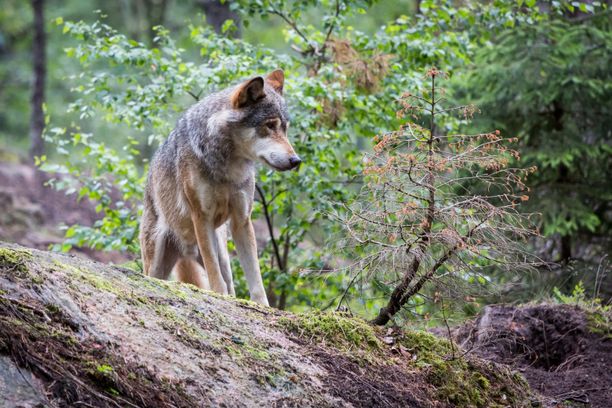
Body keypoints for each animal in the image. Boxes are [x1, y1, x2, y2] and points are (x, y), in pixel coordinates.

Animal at [139, 71, 302, 306]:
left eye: (285, 129)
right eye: (270, 125)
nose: (296, 160)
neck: (228, 167)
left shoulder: (242, 219)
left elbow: (255, 276)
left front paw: (263, 306)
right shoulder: (202, 217)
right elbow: (214, 273)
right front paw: (218, 295)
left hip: (222, 252)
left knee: (229, 281)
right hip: (156, 265)